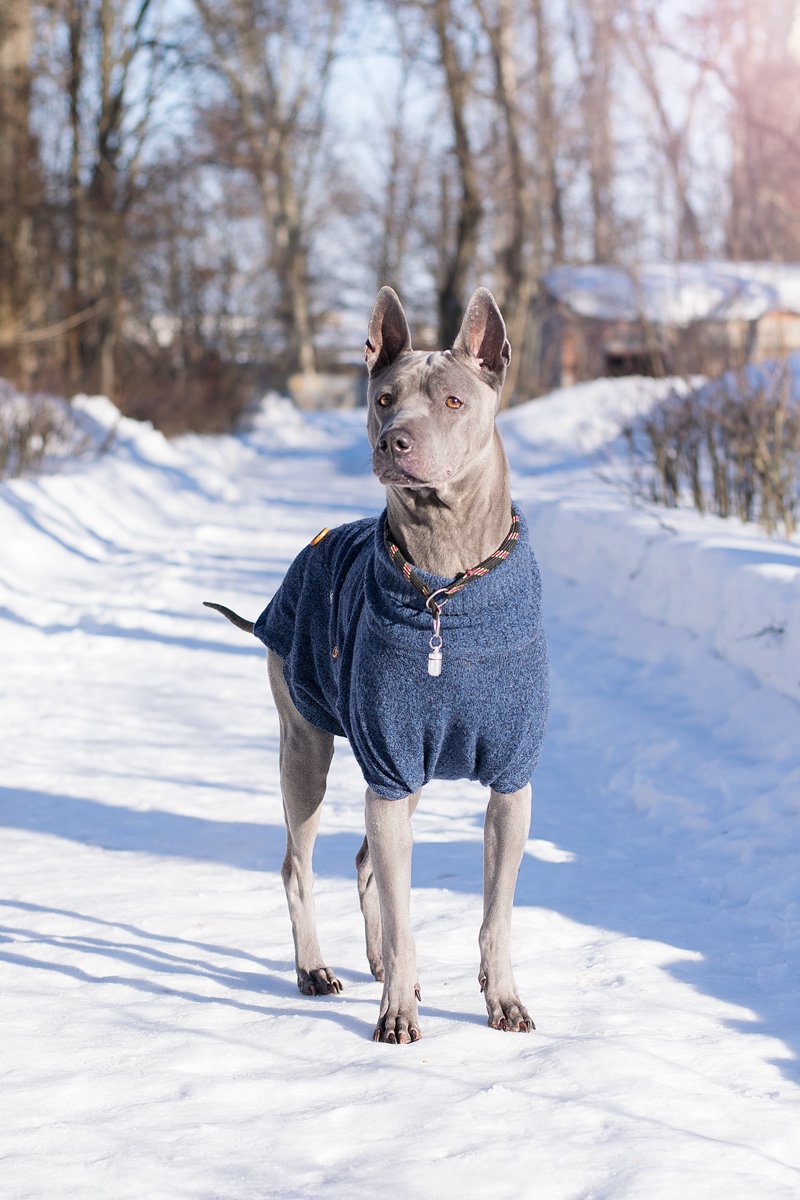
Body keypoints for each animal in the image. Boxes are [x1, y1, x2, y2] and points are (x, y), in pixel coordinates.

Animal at [205, 288, 551, 1041]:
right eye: (384, 398)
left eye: (452, 401)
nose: (393, 439)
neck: (448, 578)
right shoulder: (388, 767)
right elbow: (401, 914)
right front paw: (396, 1012)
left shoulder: (510, 783)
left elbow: (497, 915)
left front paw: (504, 1001)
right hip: (306, 746)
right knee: (299, 864)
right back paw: (317, 969)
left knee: (364, 860)